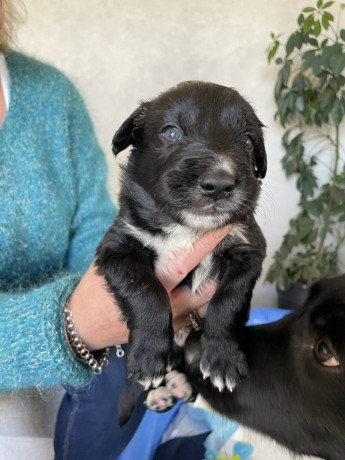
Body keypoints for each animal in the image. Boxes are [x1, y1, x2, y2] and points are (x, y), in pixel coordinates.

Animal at [95, 81, 268, 390]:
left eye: (248, 142)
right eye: (171, 133)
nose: (219, 184)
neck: (189, 229)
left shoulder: (249, 250)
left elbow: (228, 301)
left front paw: (223, 359)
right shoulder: (117, 247)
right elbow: (145, 291)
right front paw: (148, 357)